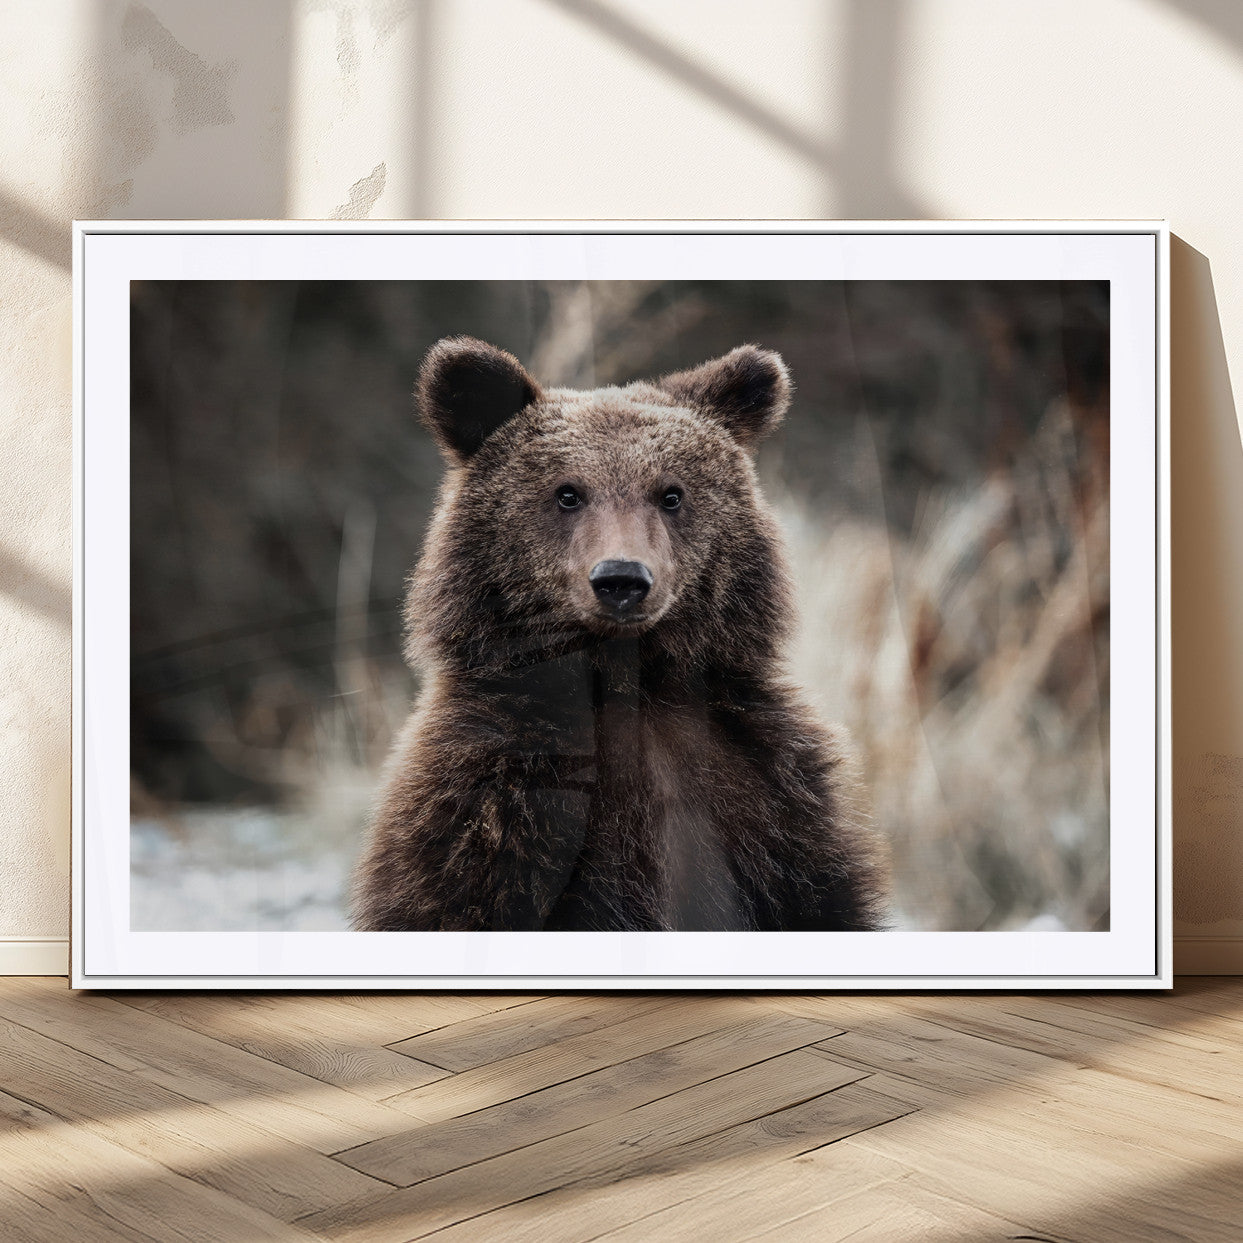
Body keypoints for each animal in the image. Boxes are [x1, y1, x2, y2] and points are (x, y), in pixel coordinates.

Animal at [350, 336, 889, 932]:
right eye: (567, 493)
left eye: (671, 494)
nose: (621, 579)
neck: (623, 682)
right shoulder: (490, 808)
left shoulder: (770, 800)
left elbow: (817, 897)